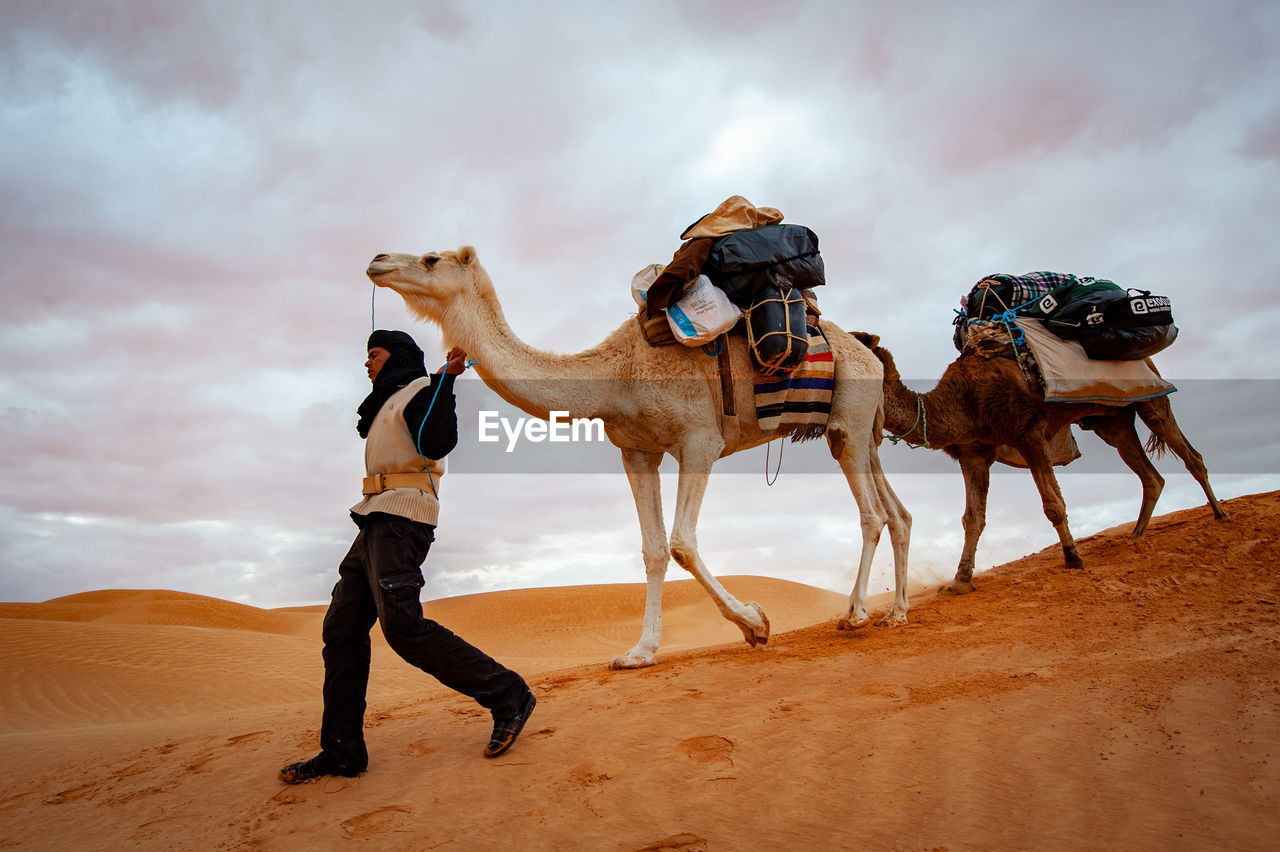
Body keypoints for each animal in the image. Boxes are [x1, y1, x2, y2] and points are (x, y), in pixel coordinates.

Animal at [368, 241, 911, 665]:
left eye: (432, 258)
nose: (377, 260)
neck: (617, 376)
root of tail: (867, 350)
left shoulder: (699, 439)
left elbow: (682, 542)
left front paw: (755, 623)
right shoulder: (636, 451)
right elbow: (653, 549)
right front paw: (639, 652)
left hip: (849, 418)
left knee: (871, 514)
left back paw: (856, 615)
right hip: (861, 430)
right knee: (896, 512)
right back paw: (897, 612)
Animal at [855, 327, 1223, 593]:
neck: (962, 401)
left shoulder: (1028, 433)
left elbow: (1053, 504)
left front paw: (1073, 559)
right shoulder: (974, 454)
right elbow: (972, 518)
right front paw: (960, 581)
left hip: (1148, 397)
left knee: (1190, 454)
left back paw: (1220, 515)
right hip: (1111, 421)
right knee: (1149, 475)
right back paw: (1136, 536)